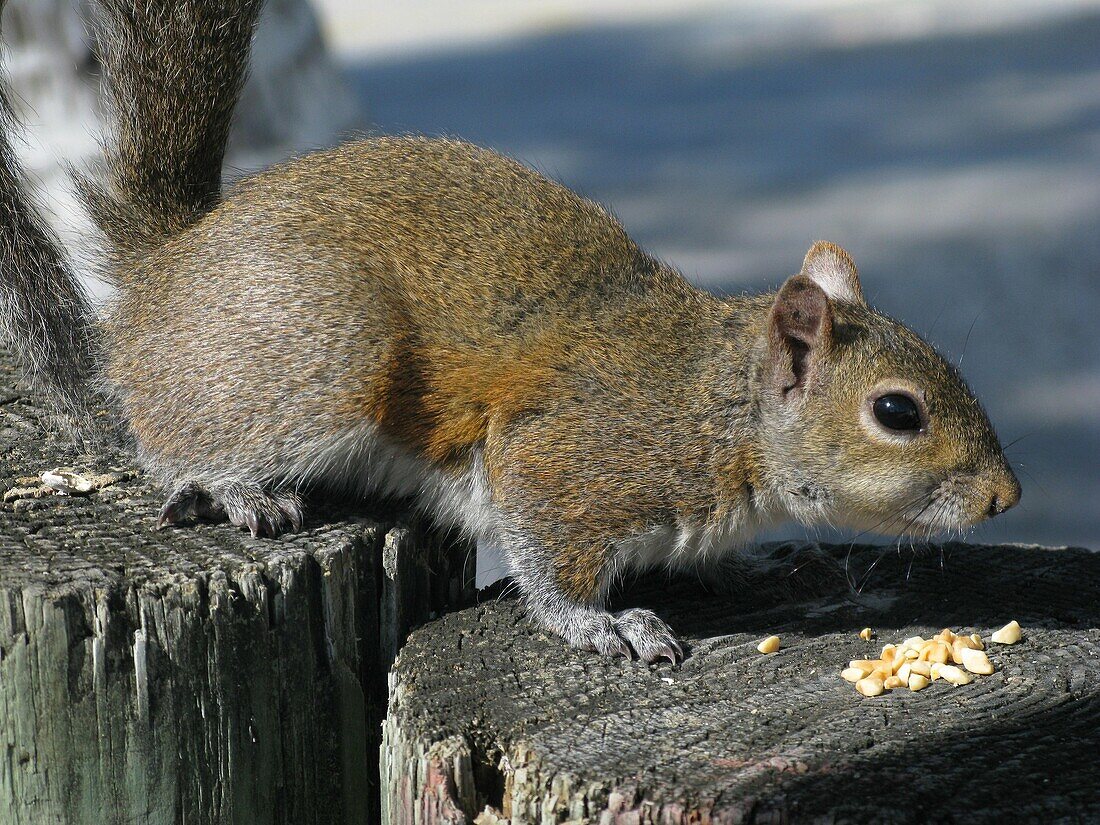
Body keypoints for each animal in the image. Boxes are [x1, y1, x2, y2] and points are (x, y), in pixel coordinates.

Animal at [0, 0, 1020, 664]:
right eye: (898, 412)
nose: (1005, 495)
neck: (718, 409)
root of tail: (165, 273)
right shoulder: (571, 457)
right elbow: (543, 553)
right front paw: (599, 624)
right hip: (327, 350)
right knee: (170, 436)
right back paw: (230, 486)